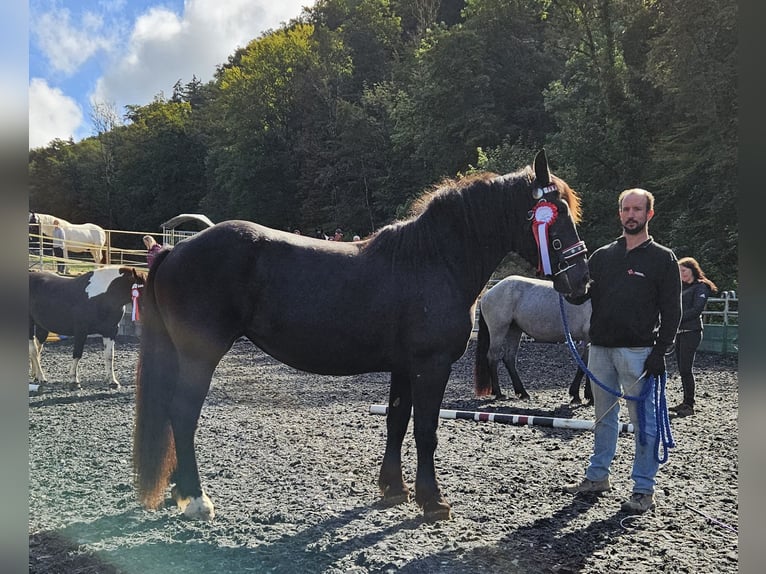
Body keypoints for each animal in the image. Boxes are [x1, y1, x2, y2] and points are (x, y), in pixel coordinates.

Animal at [132, 151, 592, 524]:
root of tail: (176, 249)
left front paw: (394, 489)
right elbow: (426, 429)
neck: (433, 261)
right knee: (183, 414)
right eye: (556, 212)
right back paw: (196, 499)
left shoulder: (404, 368)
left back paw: (179, 493)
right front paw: (432, 501)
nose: (581, 283)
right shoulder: (430, 366)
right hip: (200, 354)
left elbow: (396, 421)